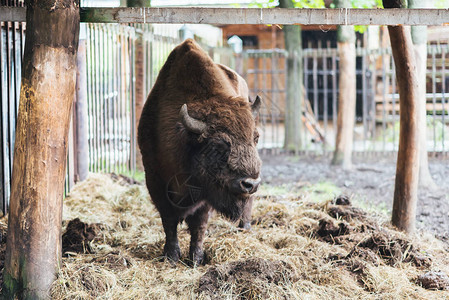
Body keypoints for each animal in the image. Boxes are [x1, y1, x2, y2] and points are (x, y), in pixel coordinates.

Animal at [138, 39, 260, 264]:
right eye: (219, 144)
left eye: (255, 138)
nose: (250, 184)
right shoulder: (154, 180)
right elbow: (168, 221)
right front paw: (171, 256)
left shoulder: (206, 194)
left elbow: (199, 225)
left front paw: (196, 258)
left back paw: (245, 227)